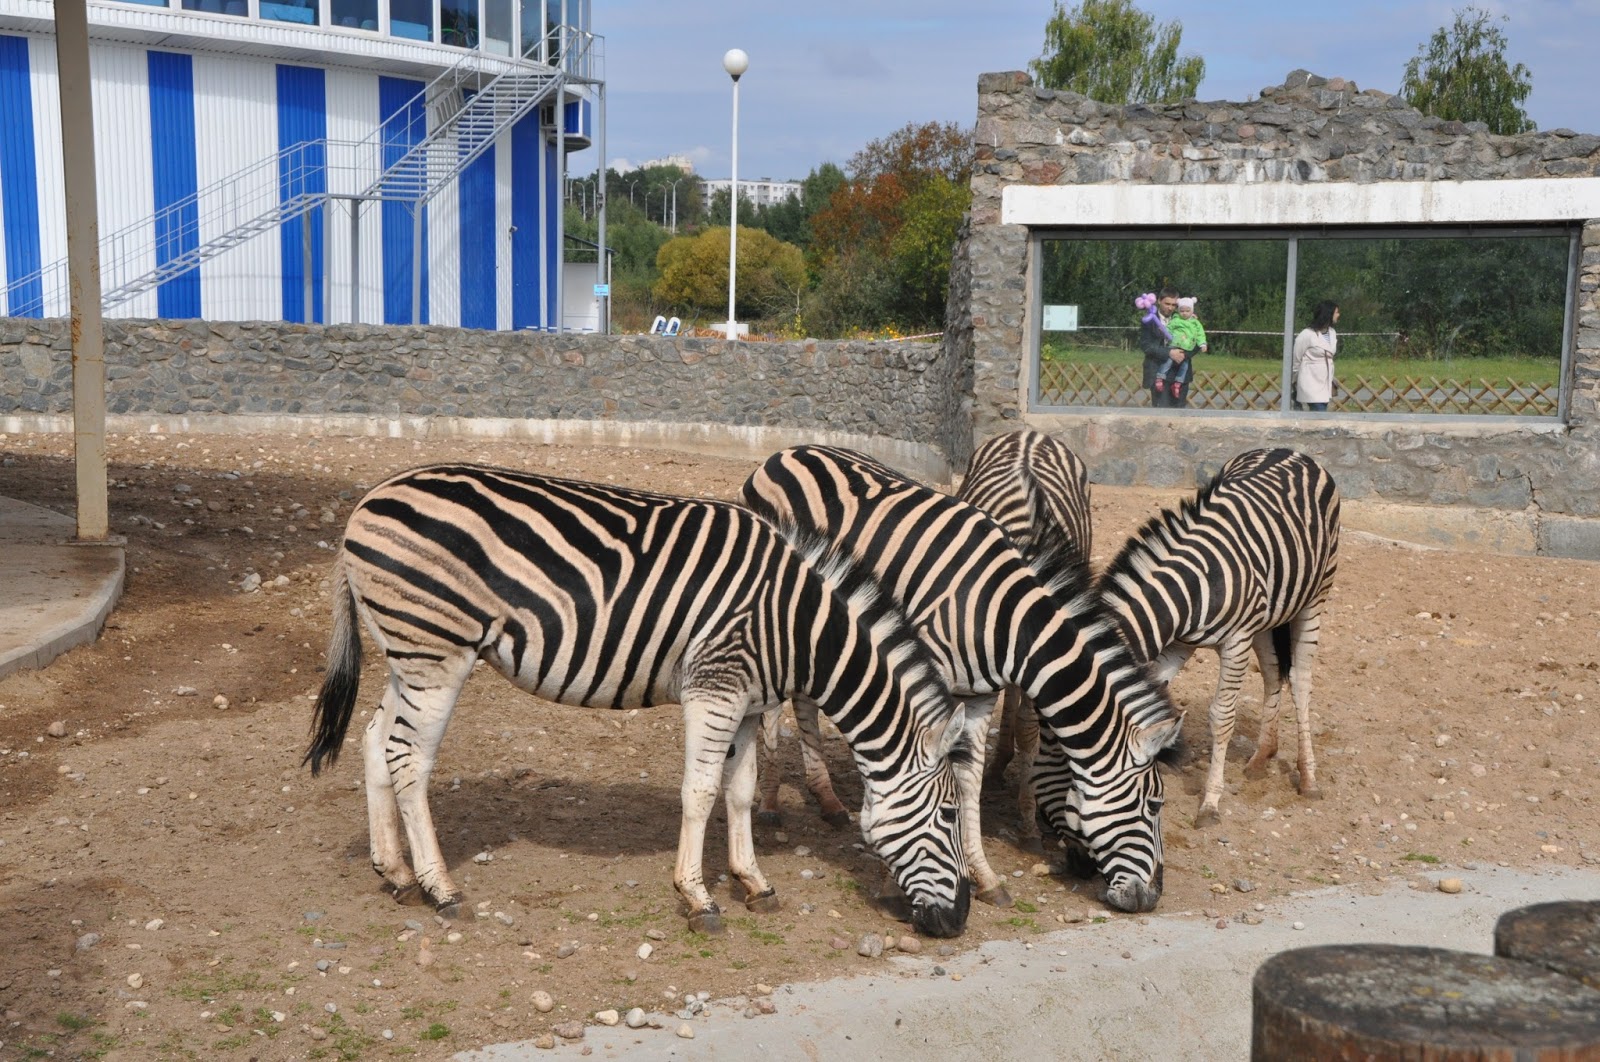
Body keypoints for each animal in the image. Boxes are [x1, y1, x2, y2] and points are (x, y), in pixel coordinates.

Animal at [300, 463, 972, 940]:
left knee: (376, 742)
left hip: (408, 657)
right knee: (410, 759)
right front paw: (698, 897)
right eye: (947, 816)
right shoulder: (714, 687)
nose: (960, 922)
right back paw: (442, 890)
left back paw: (395, 874)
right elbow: (700, 792)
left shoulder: (749, 702)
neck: (797, 624)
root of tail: (366, 502)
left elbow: (740, 792)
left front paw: (753, 882)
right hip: (436, 652)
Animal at [742, 444, 1184, 914]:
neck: (1006, 622)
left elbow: (968, 780)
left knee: (805, 699)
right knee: (775, 708)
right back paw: (770, 801)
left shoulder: (979, 696)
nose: (1152, 898)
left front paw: (985, 877)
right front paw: (893, 884)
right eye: (1155, 804)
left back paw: (826, 799)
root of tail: (785, 452)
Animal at [1100, 447, 1337, 831]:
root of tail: (1289, 450)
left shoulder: (1235, 642)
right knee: (1273, 674)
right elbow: (1156, 694)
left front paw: (1210, 803)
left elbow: (1221, 717)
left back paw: (1308, 779)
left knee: (1300, 681)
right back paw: (1261, 757)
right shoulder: (1179, 644)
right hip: (1266, 617)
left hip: (1314, 598)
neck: (1189, 589)